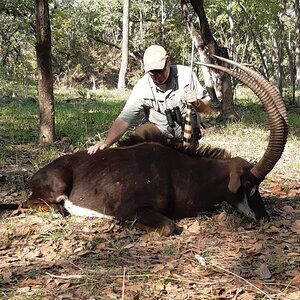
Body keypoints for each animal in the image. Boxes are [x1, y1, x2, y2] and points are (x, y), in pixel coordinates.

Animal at [22, 57, 288, 237]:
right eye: (249, 186)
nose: (264, 218)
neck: (182, 172)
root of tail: (36, 174)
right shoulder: (132, 208)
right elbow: (170, 226)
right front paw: (121, 224)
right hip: (55, 187)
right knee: (31, 203)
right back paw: (58, 210)